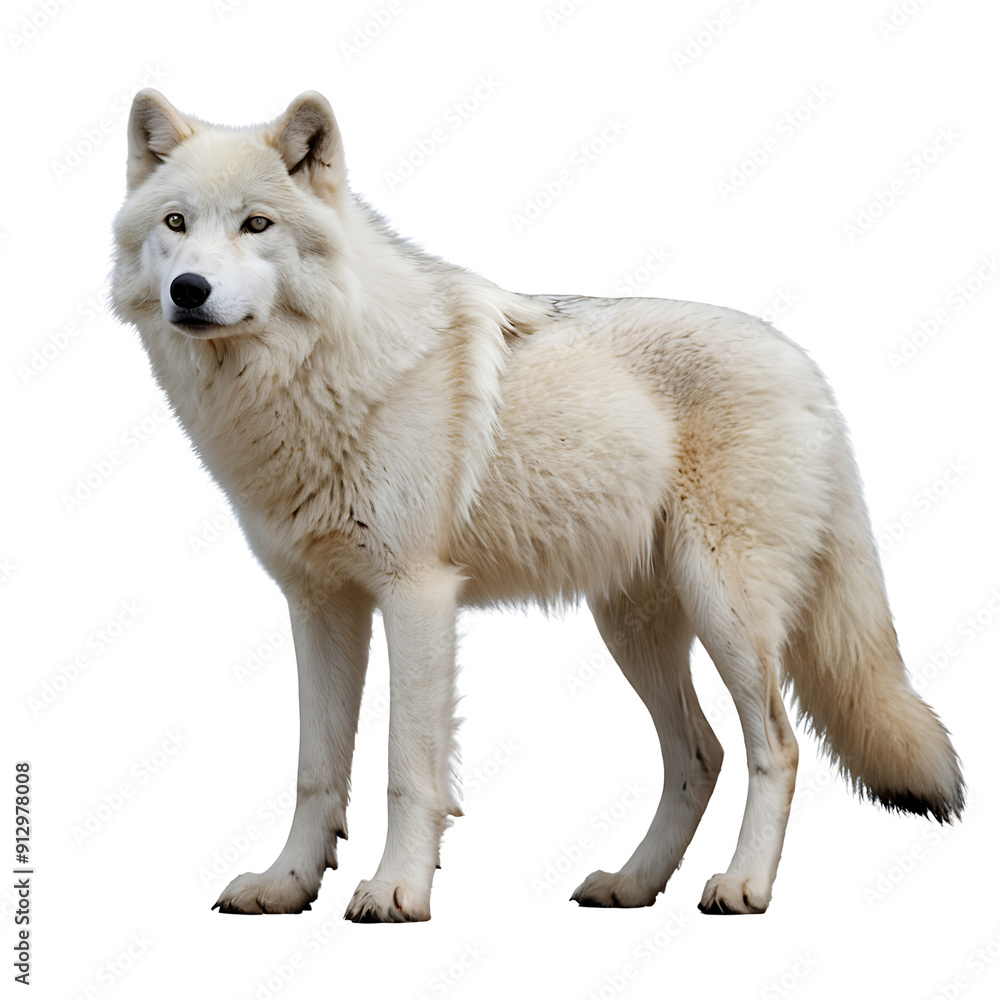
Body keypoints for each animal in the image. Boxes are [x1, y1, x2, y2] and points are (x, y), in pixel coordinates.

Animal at [111, 90, 964, 921]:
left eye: (256, 223)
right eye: (175, 224)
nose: (190, 291)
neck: (309, 379)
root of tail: (810, 371)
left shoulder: (417, 594)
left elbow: (405, 765)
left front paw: (397, 892)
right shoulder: (319, 604)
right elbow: (315, 770)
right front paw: (286, 885)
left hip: (725, 609)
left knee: (774, 748)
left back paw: (742, 886)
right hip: (634, 629)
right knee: (700, 755)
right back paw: (631, 884)